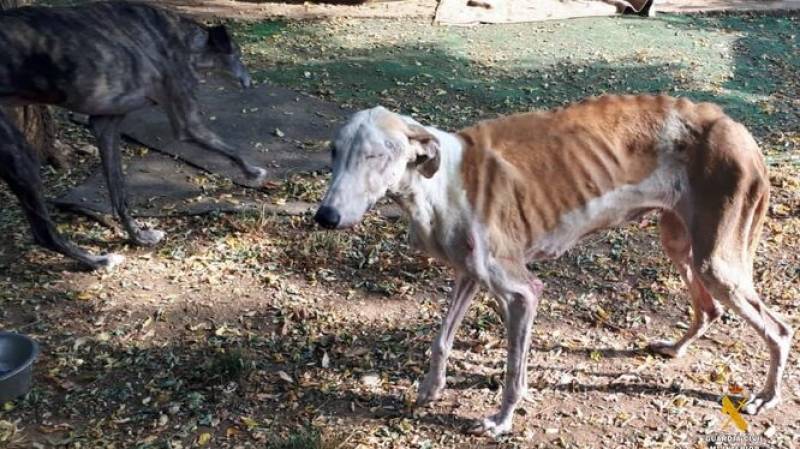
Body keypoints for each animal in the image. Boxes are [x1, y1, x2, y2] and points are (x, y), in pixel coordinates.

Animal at [0, 1, 268, 268]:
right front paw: (252, 172)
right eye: (238, 55)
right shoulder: (187, 123)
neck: (182, 39)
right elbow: (230, 148)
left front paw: (139, 236)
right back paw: (98, 261)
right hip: (20, 153)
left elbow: (119, 192)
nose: (251, 83)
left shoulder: (105, 124)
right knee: (43, 233)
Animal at [312, 94, 792, 434]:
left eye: (376, 154)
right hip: (679, 242)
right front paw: (431, 389)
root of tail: (737, 129)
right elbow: (441, 340)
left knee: (780, 330)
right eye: (333, 151)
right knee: (709, 308)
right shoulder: (469, 275)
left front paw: (500, 422)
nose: (325, 217)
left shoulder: (522, 292)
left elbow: (513, 371)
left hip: (718, 262)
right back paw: (675, 348)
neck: (439, 183)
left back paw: (766, 395)